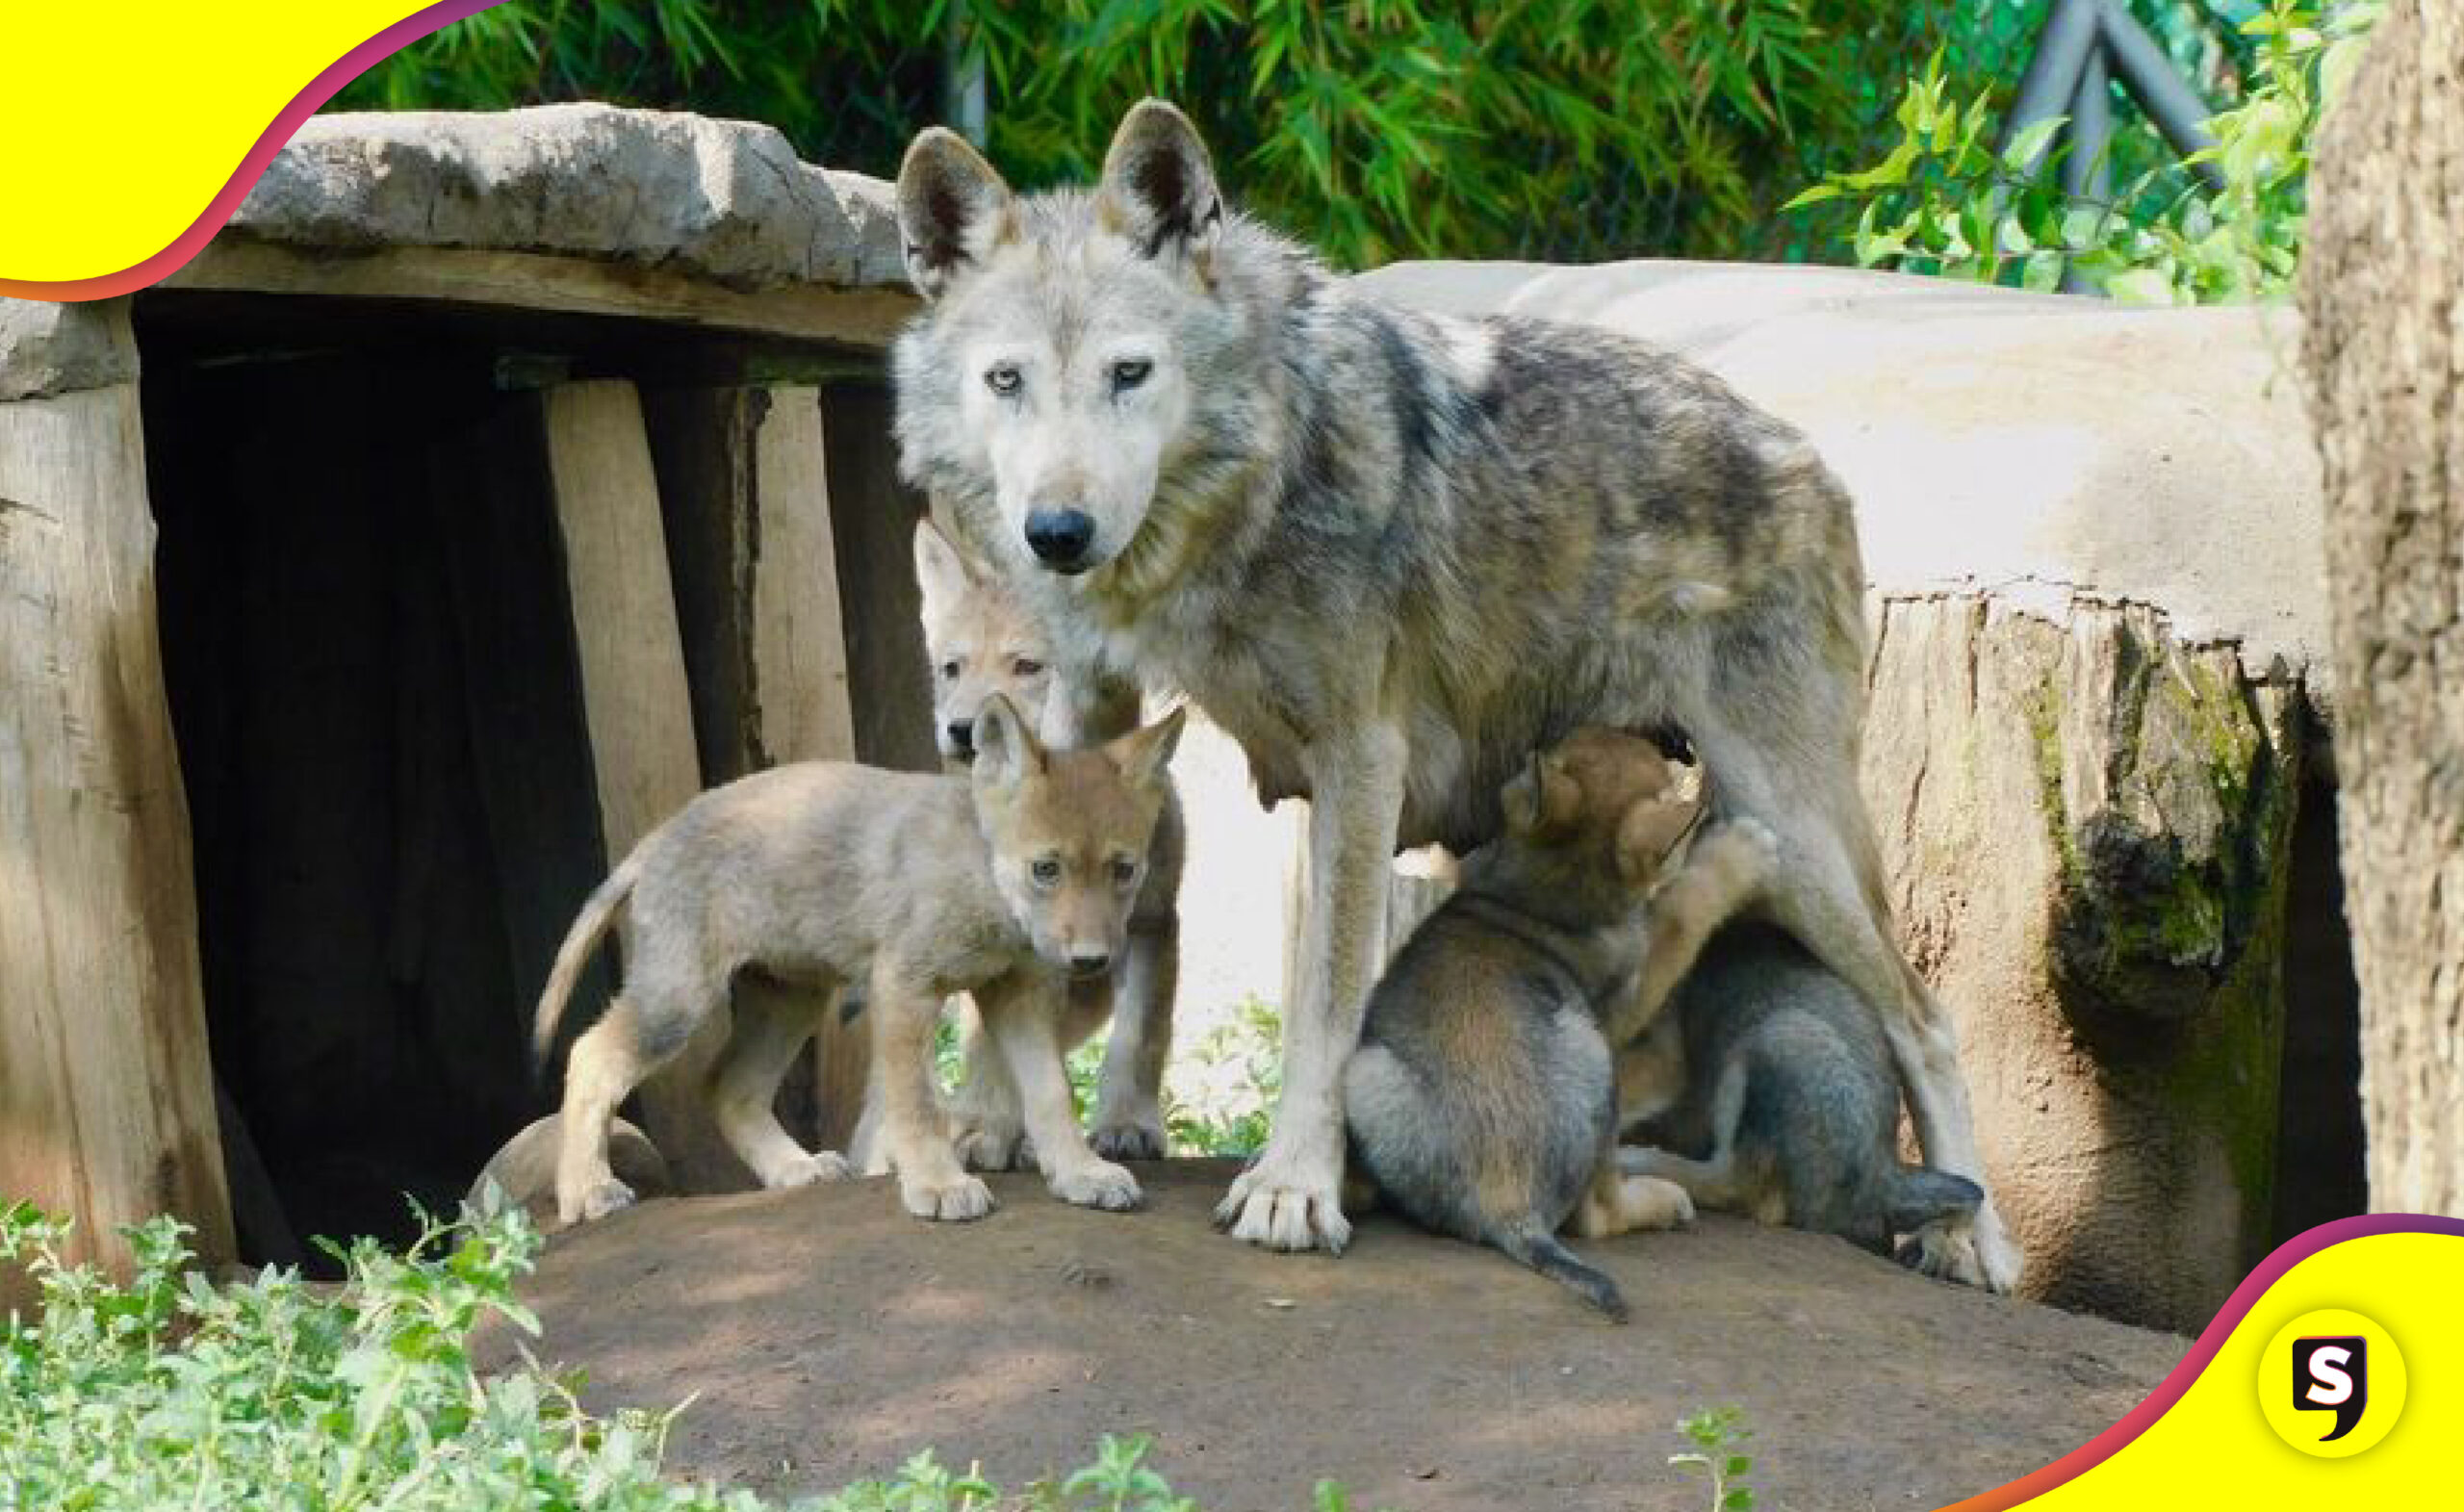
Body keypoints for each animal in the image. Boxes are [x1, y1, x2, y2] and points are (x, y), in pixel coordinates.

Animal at [534, 692, 1185, 1226]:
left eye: (1124, 870)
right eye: (1046, 869)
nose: (1091, 961)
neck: (979, 876)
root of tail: (655, 837)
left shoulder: (1016, 995)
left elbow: (1051, 1095)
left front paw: (1080, 1172)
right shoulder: (903, 986)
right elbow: (918, 1106)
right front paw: (939, 1185)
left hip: (788, 1002)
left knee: (727, 1087)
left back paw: (793, 1169)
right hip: (678, 1002)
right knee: (589, 1056)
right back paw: (587, 1191)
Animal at [1346, 729, 1773, 1319]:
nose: (1676, 747)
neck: (1540, 894)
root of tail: (1507, 1203)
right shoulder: (1628, 999)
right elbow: (1680, 912)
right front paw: (1741, 854)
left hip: (1366, 1073)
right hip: (1595, 1055)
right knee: (1597, 1216)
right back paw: (1663, 1200)